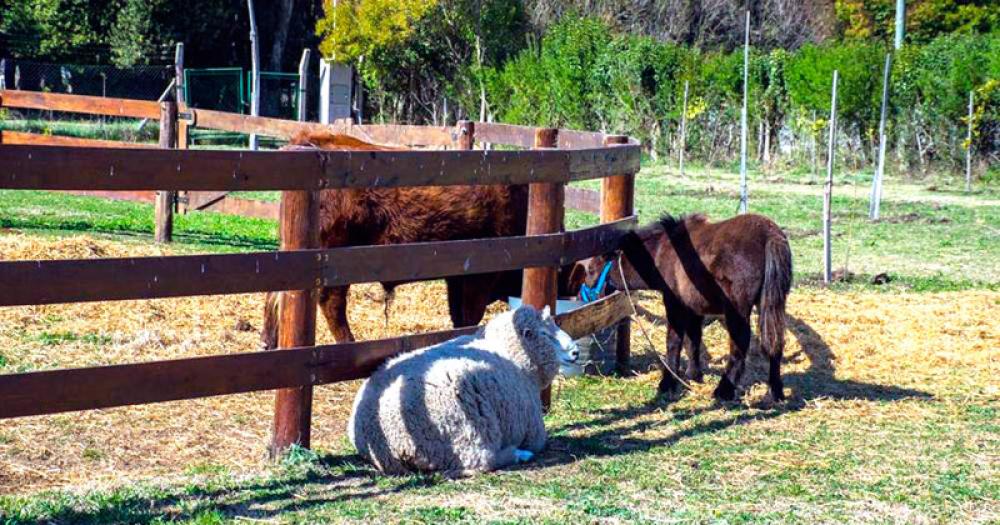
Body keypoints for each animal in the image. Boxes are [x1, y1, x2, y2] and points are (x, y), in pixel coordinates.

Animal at [262, 131, 536, 350]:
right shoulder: (478, 278)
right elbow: (468, 317)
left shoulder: (458, 279)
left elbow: (459, 316)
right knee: (331, 302)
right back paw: (347, 343)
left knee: (277, 294)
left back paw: (269, 341)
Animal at [348, 304, 580, 476]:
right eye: (545, 334)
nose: (576, 352)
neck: (512, 354)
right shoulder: (533, 431)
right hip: (465, 432)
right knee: (482, 461)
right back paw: (518, 454)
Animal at [576, 213, 792, 402]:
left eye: (591, 270)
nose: (580, 297)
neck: (663, 251)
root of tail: (769, 235)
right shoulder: (694, 308)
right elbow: (693, 340)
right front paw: (693, 375)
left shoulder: (675, 304)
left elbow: (674, 341)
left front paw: (667, 383)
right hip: (772, 304)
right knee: (774, 342)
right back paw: (775, 392)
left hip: (737, 311)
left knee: (740, 345)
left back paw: (724, 390)